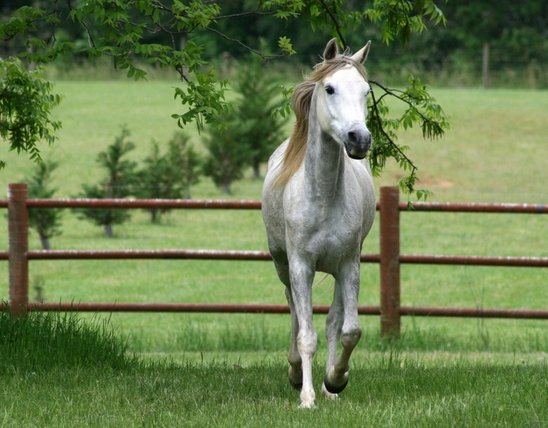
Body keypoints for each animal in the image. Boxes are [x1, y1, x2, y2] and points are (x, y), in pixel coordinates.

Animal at [262, 39, 376, 408]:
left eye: (366, 91)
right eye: (330, 88)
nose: (359, 139)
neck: (323, 198)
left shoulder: (349, 265)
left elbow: (348, 330)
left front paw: (335, 380)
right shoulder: (301, 266)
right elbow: (306, 334)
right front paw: (307, 397)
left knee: (332, 322)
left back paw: (328, 388)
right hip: (283, 265)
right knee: (295, 312)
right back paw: (296, 374)